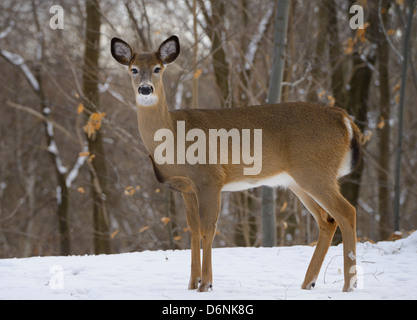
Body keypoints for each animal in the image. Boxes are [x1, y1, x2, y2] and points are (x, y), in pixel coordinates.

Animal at [109, 35, 360, 292]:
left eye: (158, 69)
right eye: (133, 69)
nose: (145, 89)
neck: (173, 136)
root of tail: (344, 119)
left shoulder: (210, 178)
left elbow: (208, 229)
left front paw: (206, 284)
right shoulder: (187, 188)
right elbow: (194, 230)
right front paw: (192, 283)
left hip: (316, 172)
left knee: (346, 212)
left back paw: (348, 286)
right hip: (298, 181)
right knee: (327, 220)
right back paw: (308, 283)